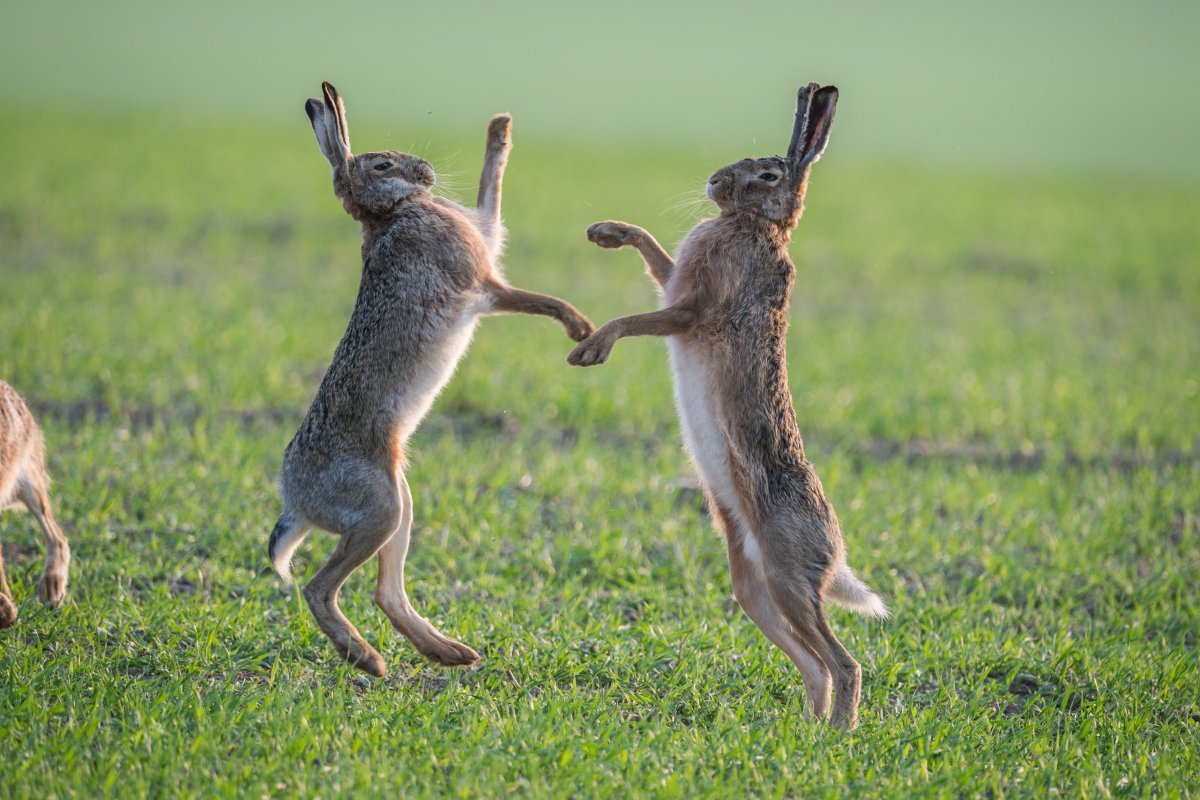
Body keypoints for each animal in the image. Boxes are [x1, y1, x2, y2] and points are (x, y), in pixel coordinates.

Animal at [269, 82, 594, 678]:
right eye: (382, 164)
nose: (426, 173)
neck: (389, 213)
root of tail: (295, 499)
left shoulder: (482, 238)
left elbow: (491, 196)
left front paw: (500, 127)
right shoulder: (483, 284)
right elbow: (531, 298)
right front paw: (579, 326)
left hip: (399, 505)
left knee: (385, 593)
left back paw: (450, 653)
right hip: (378, 508)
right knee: (319, 588)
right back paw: (366, 659)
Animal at [567, 83, 886, 729]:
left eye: (767, 175)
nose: (715, 182)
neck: (759, 227)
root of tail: (834, 549)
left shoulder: (691, 308)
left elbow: (640, 319)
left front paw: (593, 347)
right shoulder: (675, 282)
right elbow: (652, 253)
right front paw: (607, 232)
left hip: (789, 576)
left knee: (844, 663)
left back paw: (837, 735)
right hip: (754, 586)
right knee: (813, 662)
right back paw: (809, 729)